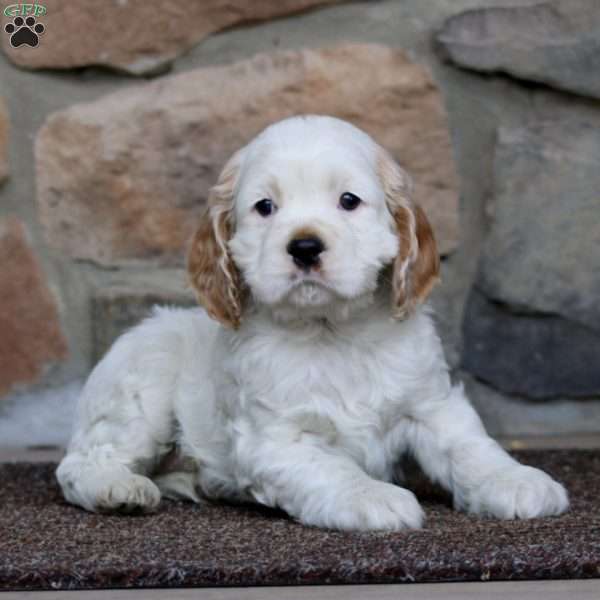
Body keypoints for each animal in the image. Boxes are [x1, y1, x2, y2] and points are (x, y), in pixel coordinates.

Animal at [55, 113, 568, 528]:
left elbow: (470, 446)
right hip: (141, 395)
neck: (333, 331)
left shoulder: (432, 405)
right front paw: (374, 497)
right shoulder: (277, 439)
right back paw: (120, 489)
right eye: (265, 207)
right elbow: (333, 469)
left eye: (349, 200)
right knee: (79, 463)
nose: (304, 247)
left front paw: (516, 481)